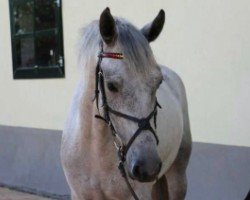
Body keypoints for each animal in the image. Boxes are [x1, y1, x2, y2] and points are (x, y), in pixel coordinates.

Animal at [61, 7, 192, 200]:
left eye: (158, 82)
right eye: (111, 86)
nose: (147, 167)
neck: (94, 151)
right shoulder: (79, 194)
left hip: (177, 175)